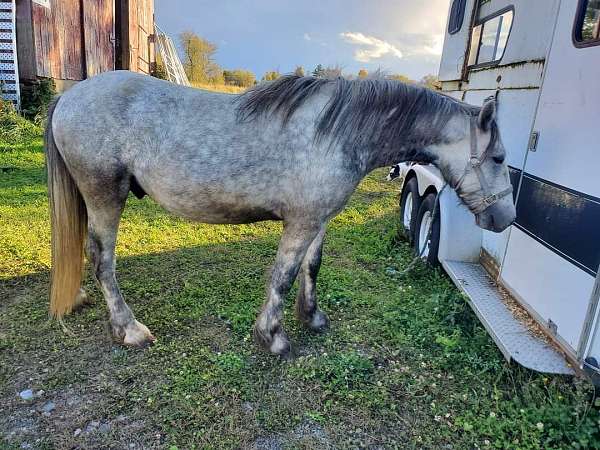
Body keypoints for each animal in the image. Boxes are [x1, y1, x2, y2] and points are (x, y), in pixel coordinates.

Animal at [47, 71, 516, 356]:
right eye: (498, 157)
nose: (505, 218)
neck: (337, 131)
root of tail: (70, 96)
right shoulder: (301, 222)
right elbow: (284, 275)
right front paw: (272, 337)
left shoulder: (318, 219)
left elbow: (312, 267)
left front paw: (312, 317)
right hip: (105, 196)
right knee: (102, 259)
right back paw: (129, 329)